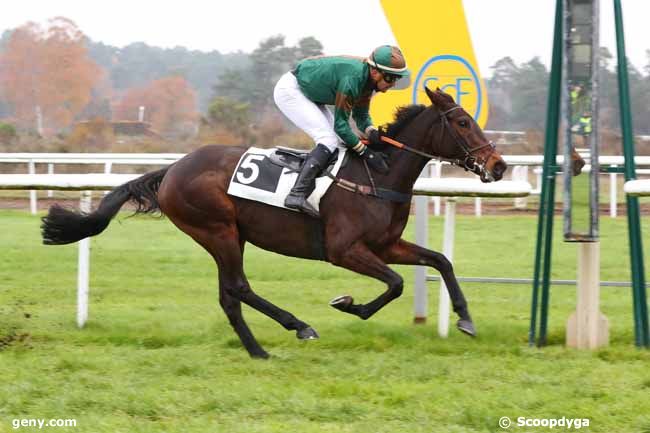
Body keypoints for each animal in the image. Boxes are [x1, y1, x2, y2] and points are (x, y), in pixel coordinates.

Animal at [41, 88, 506, 358]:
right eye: (462, 122)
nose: (498, 166)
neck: (378, 174)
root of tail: (172, 169)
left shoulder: (385, 245)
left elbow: (440, 260)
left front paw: (465, 319)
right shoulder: (344, 250)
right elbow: (395, 284)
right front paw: (349, 305)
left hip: (230, 236)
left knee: (229, 296)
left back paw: (258, 349)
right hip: (218, 231)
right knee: (239, 288)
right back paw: (296, 327)